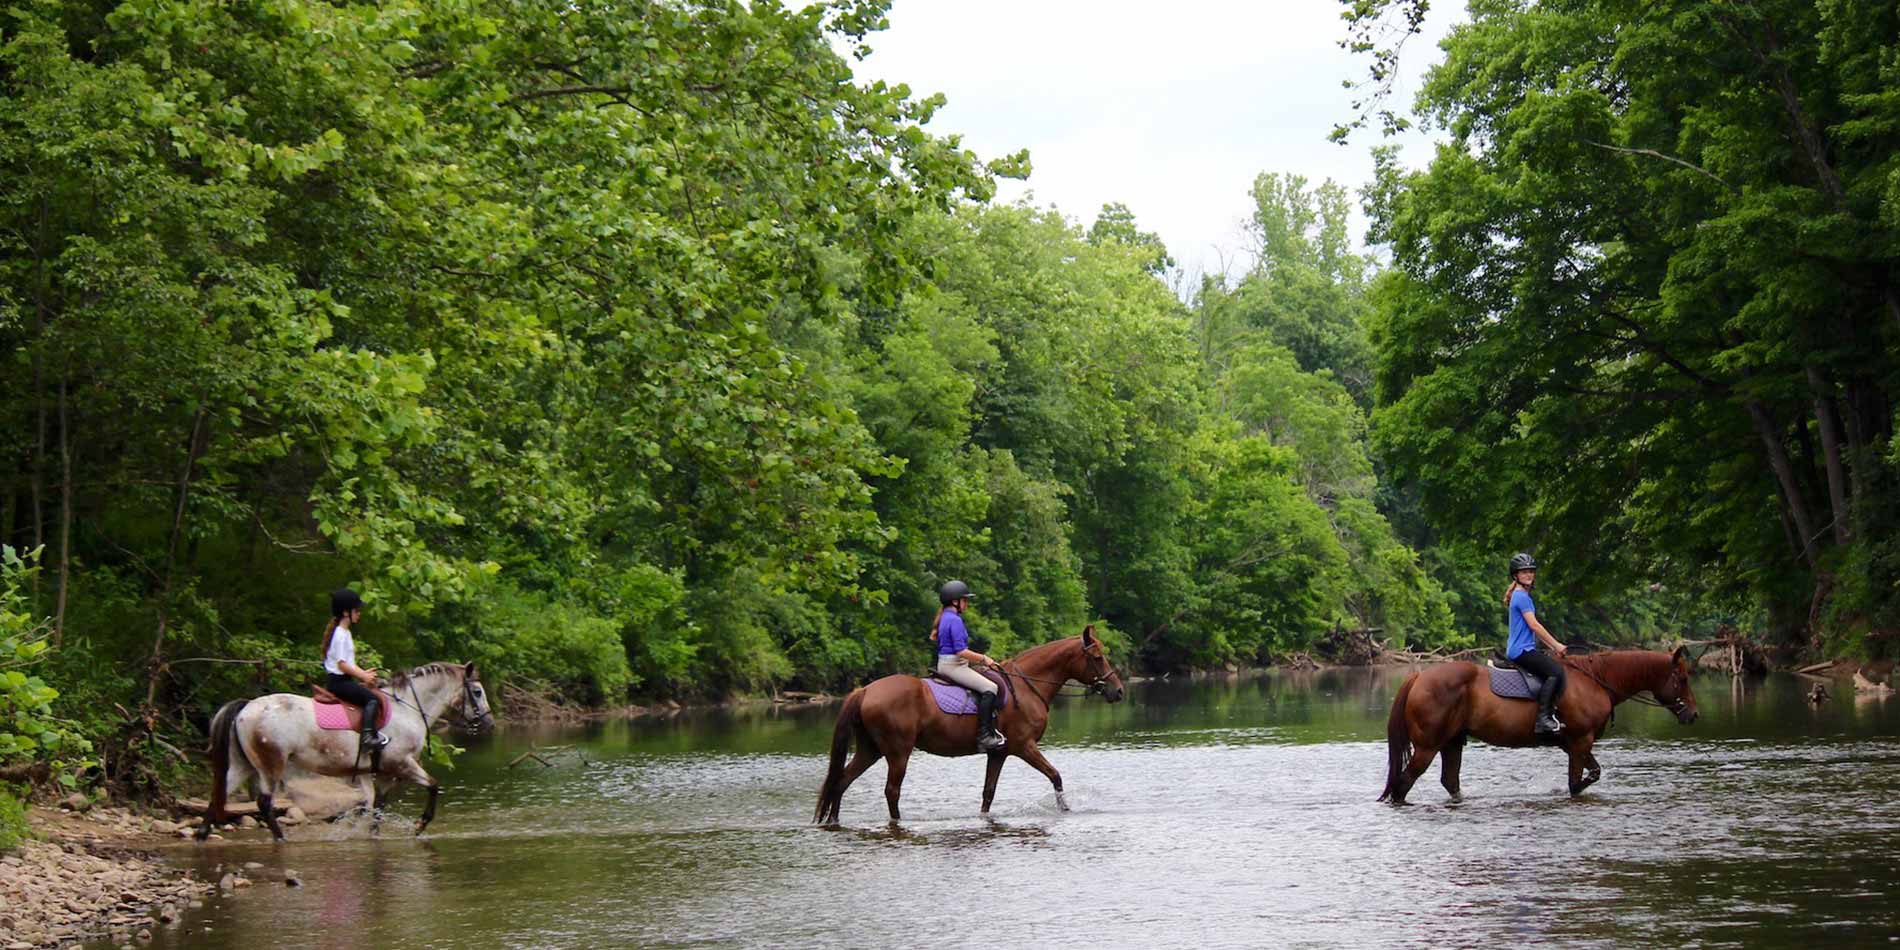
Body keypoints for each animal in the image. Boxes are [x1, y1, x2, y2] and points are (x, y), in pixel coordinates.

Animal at [809, 623, 1117, 824]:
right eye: (1098, 658)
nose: (1119, 691)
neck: (1027, 685)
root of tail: (866, 690)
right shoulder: (1024, 746)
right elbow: (1055, 775)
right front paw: (1066, 810)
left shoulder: (999, 753)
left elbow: (988, 793)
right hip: (897, 752)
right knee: (891, 791)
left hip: (870, 749)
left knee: (842, 781)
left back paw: (834, 821)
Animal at [1375, 646, 1702, 801]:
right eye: (1683, 679)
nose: (1694, 715)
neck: (1596, 681)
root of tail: (1419, 676)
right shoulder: (1581, 741)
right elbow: (1577, 782)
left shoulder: (1574, 744)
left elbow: (1592, 773)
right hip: (1427, 747)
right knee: (1403, 784)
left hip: (1452, 742)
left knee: (1449, 781)